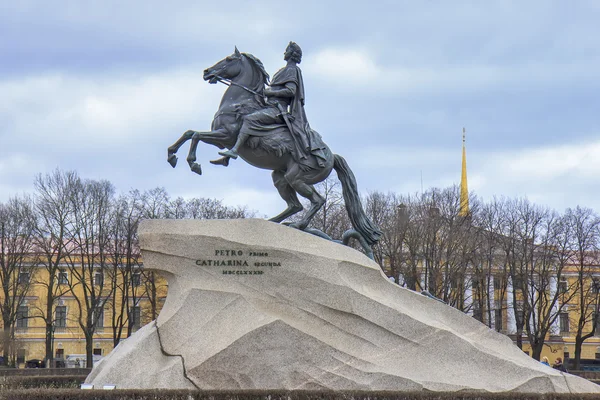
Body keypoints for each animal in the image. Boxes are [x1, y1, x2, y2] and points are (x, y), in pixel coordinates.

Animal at [165, 47, 380, 250]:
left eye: (229, 59)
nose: (207, 72)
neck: (240, 102)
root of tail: (332, 156)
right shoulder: (218, 137)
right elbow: (189, 133)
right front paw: (172, 155)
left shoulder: (225, 136)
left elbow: (196, 136)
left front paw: (195, 163)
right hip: (280, 177)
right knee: (295, 205)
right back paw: (274, 222)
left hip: (297, 178)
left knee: (317, 200)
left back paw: (297, 225)